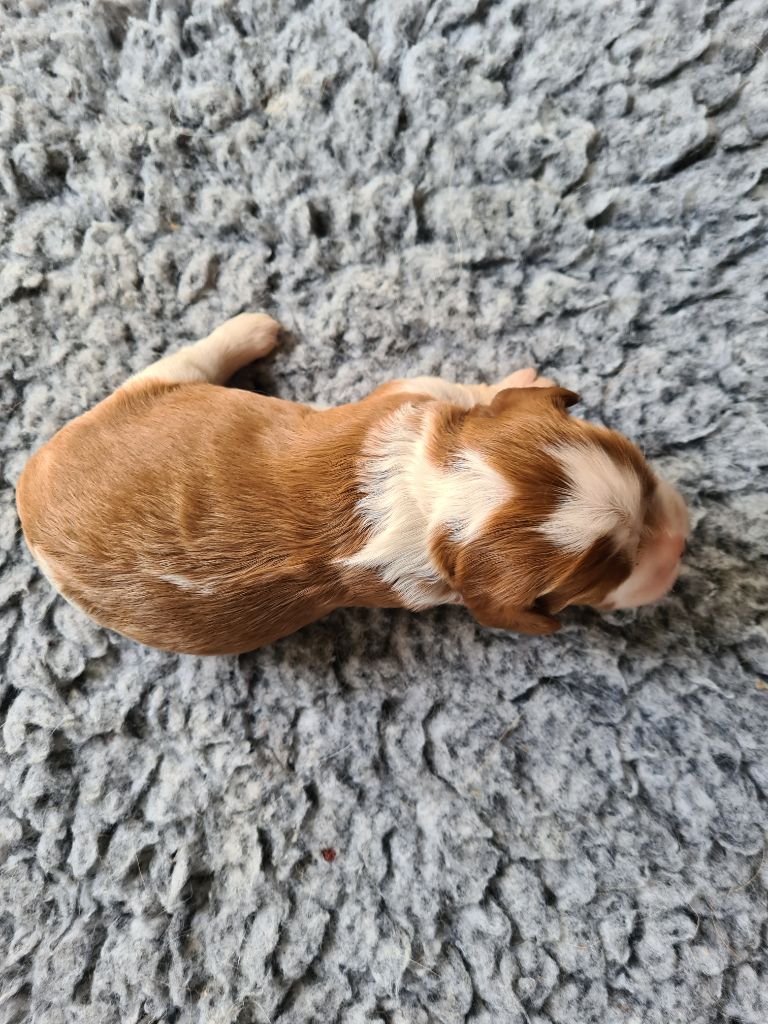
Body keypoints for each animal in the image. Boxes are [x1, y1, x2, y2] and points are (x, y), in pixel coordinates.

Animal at [16, 313, 689, 655]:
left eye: (646, 475)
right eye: (605, 583)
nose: (680, 546)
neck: (443, 490)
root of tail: (28, 495)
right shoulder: (409, 394)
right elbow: (456, 386)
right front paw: (513, 379)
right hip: (153, 393)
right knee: (186, 356)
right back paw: (253, 327)